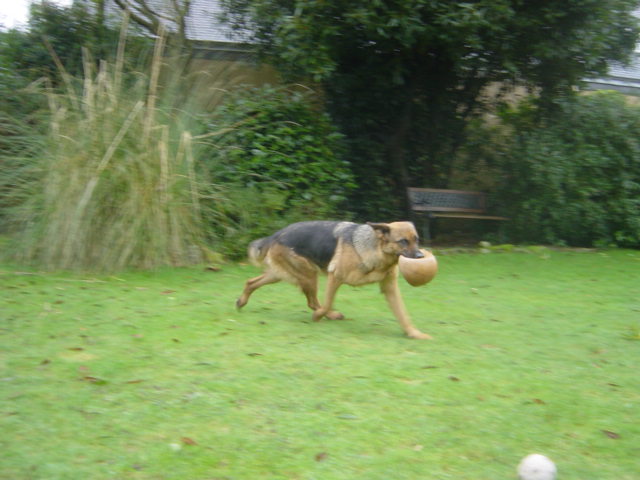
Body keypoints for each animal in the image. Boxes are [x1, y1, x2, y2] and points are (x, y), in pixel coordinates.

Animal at [235, 219, 430, 340]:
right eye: (403, 241)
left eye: (416, 239)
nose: (420, 256)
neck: (376, 250)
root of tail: (277, 234)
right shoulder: (335, 276)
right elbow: (327, 302)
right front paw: (319, 316)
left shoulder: (390, 289)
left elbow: (403, 314)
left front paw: (414, 333)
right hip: (308, 276)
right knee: (313, 302)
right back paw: (329, 315)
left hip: (280, 275)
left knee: (251, 282)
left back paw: (241, 301)